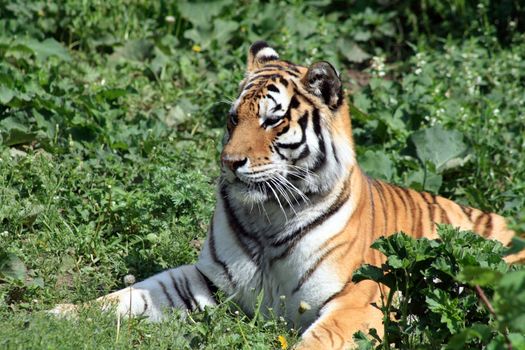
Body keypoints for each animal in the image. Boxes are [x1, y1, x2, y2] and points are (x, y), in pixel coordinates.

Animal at [50, 41, 524, 350]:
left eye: (273, 121)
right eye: (233, 118)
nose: (229, 162)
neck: (267, 218)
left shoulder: (359, 295)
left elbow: (320, 339)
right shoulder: (208, 280)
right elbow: (129, 295)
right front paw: (57, 315)